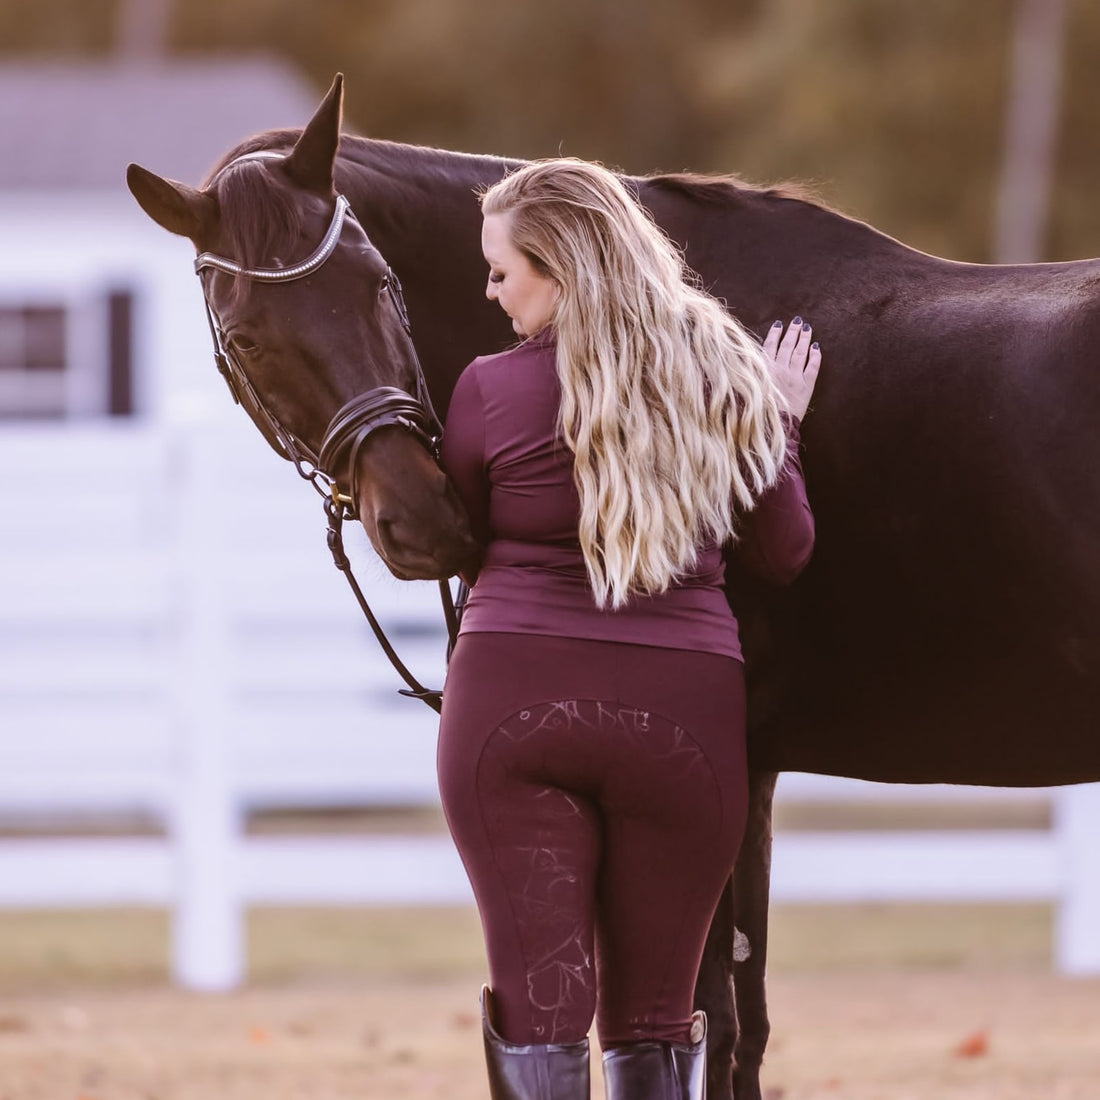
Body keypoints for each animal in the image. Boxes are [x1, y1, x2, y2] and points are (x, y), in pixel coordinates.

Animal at [128, 77, 1100, 1100]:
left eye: (380, 286)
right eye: (247, 338)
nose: (423, 517)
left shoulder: (720, 762)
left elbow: (709, 1021)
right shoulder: (749, 770)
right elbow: (736, 1025)